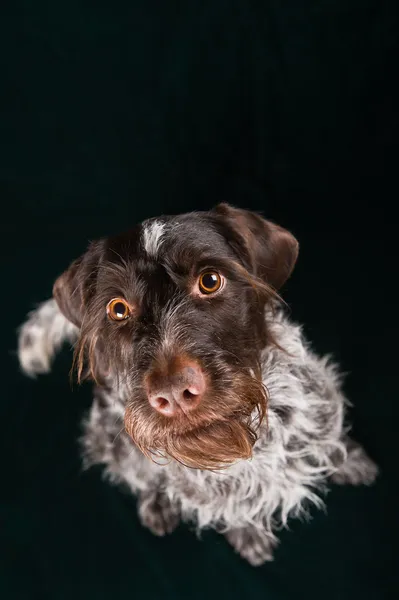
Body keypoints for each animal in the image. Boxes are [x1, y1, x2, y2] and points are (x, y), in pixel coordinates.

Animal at [17, 204, 378, 564]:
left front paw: (348, 459)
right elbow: (231, 505)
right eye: (118, 309)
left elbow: (327, 437)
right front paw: (247, 533)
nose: (174, 393)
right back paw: (156, 503)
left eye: (210, 281)